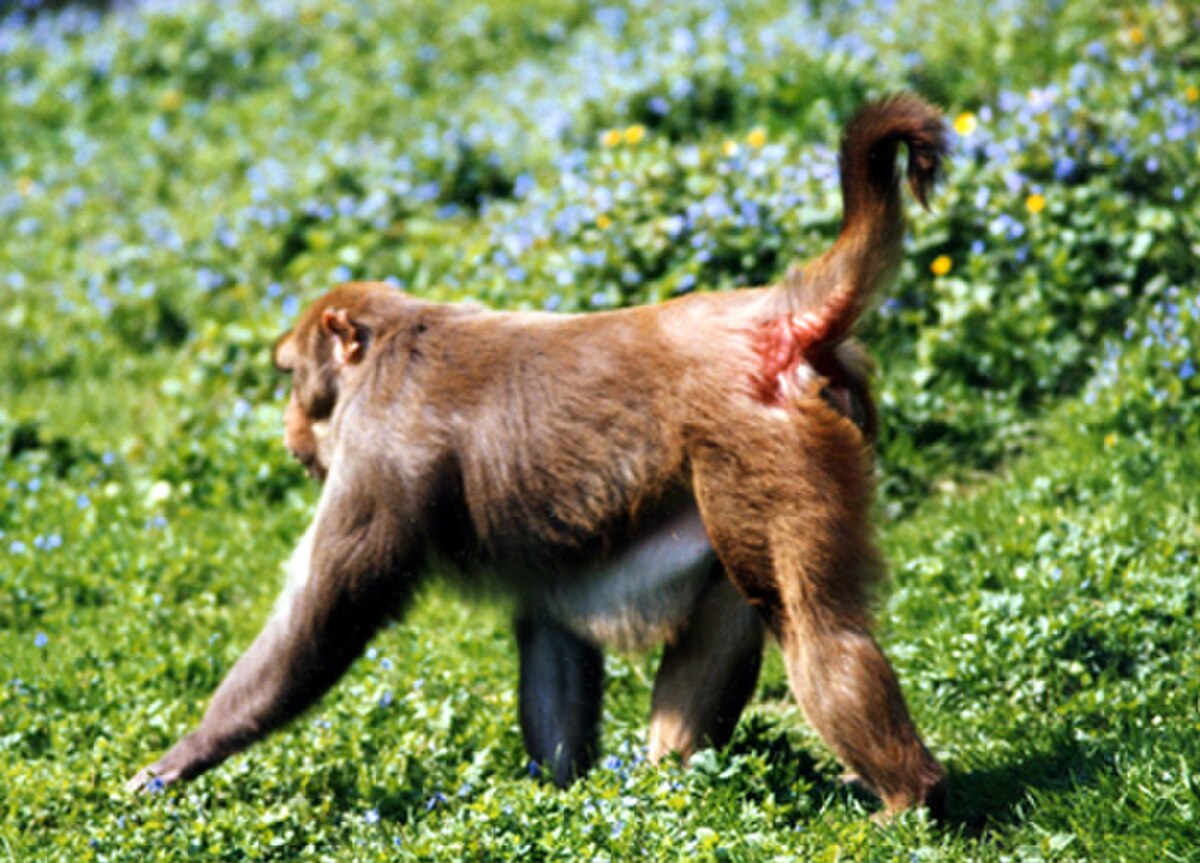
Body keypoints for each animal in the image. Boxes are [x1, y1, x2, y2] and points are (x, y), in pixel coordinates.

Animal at [127, 94, 948, 817]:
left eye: (291, 376)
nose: (291, 427)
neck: (392, 348)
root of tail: (772, 313)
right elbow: (552, 629)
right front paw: (562, 792)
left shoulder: (379, 454)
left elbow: (322, 619)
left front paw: (179, 760)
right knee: (734, 608)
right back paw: (666, 788)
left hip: (761, 449)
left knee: (811, 623)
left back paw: (909, 797)